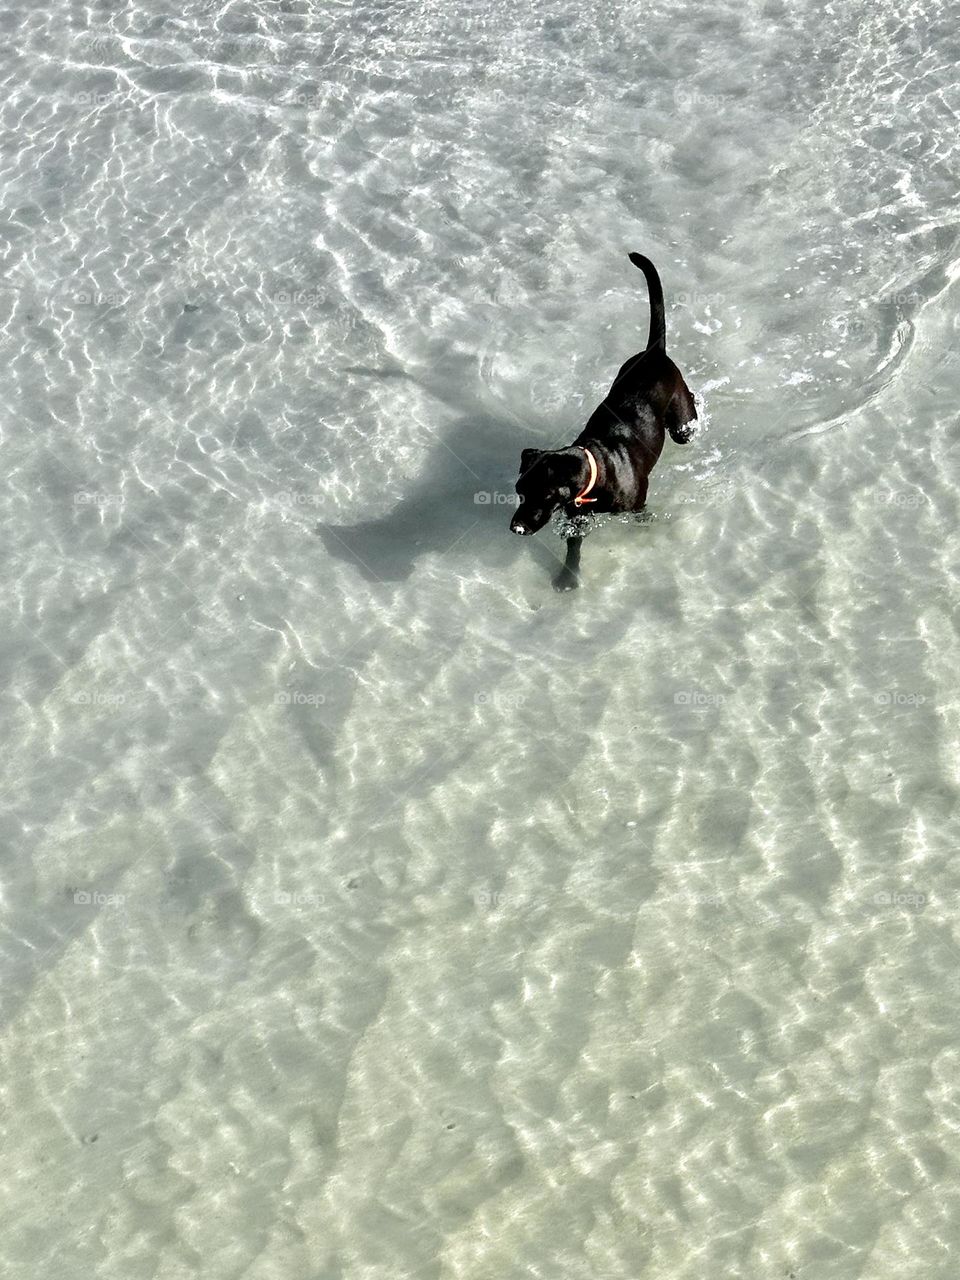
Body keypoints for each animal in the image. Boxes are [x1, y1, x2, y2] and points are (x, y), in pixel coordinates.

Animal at [512, 256, 701, 593]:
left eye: (543, 496)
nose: (516, 527)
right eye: (519, 492)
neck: (597, 470)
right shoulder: (577, 518)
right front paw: (568, 577)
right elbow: (574, 549)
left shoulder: (637, 506)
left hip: (680, 417)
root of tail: (654, 352)